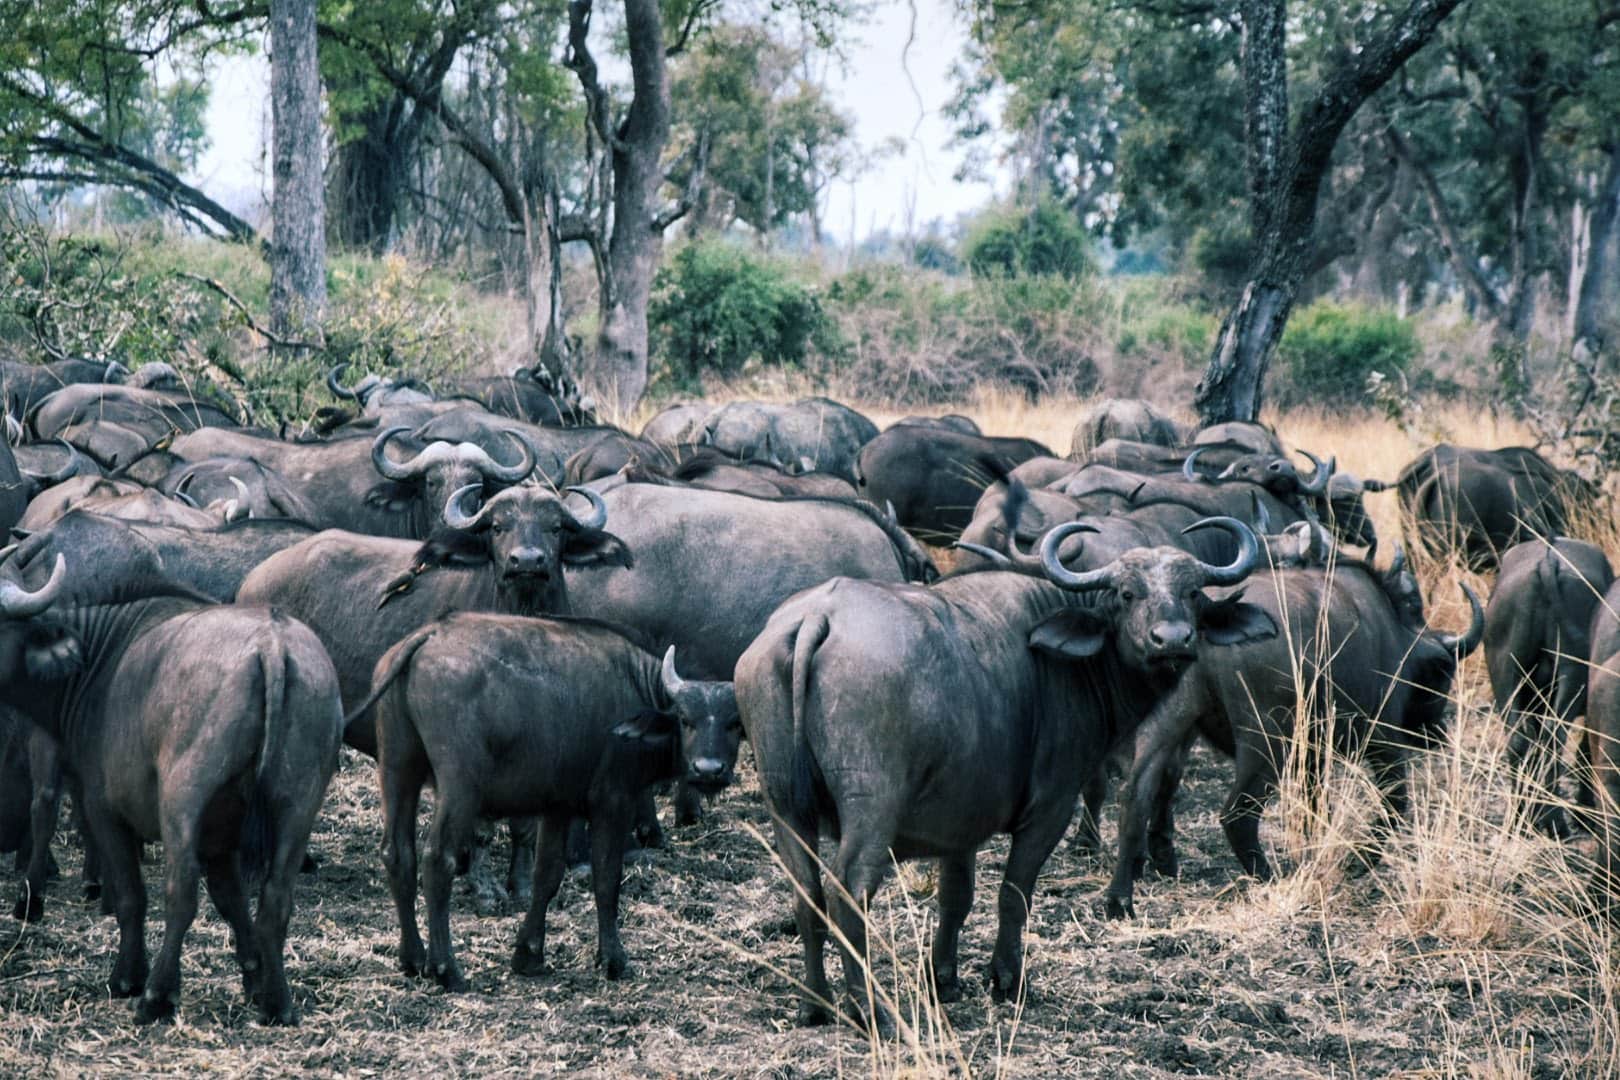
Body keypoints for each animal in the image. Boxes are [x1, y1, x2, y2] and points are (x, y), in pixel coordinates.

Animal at [0, 563, 345, 1029]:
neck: (99, 662)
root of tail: (273, 645)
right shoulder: (222, 839)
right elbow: (232, 901)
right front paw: (253, 979)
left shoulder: (104, 809)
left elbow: (131, 895)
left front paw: (127, 978)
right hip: (298, 804)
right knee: (276, 898)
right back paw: (277, 1002)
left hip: (182, 801)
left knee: (180, 893)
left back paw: (157, 996)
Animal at [735, 518, 1276, 1029]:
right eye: (1127, 594)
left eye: (1194, 593)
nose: (1173, 640)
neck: (1064, 660)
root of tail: (817, 616)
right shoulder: (1049, 810)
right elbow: (1014, 895)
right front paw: (1007, 980)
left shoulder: (959, 823)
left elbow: (956, 898)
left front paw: (943, 980)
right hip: (872, 808)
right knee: (848, 891)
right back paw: (873, 1011)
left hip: (786, 807)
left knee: (807, 895)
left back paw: (815, 1004)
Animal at [1114, 557, 1483, 919]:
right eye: (1443, 674)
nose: (1436, 734)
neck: (1390, 634)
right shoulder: (1381, 740)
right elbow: (1395, 803)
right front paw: (1357, 860)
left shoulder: (1313, 756)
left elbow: (1316, 808)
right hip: (1266, 744)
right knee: (1237, 813)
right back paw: (1269, 877)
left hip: (1164, 729)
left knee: (1135, 800)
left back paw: (1119, 899)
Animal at [1483, 537, 1613, 835]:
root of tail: (1546, 562)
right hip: (1570, 681)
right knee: (1554, 742)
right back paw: (1557, 824)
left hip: (1507, 676)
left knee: (1520, 741)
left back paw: (1522, 817)